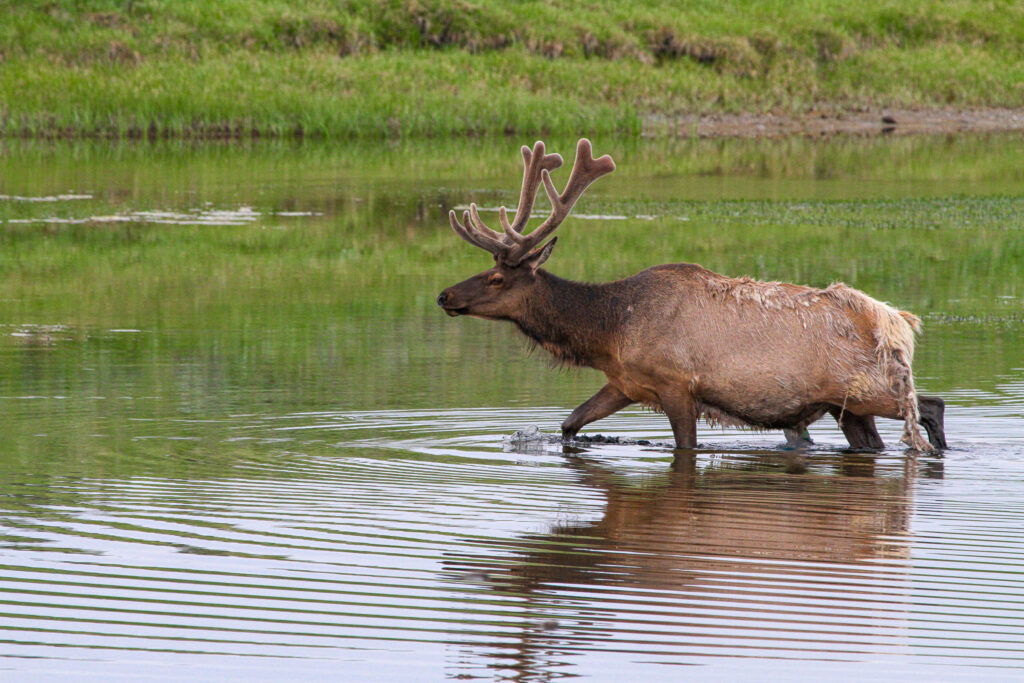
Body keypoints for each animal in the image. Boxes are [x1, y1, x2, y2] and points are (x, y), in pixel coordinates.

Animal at [436, 139, 947, 453]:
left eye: (497, 278)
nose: (444, 296)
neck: (610, 331)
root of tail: (897, 323)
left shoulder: (676, 384)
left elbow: (687, 446)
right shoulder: (626, 382)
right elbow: (570, 423)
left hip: (867, 388)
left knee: (929, 406)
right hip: (850, 408)